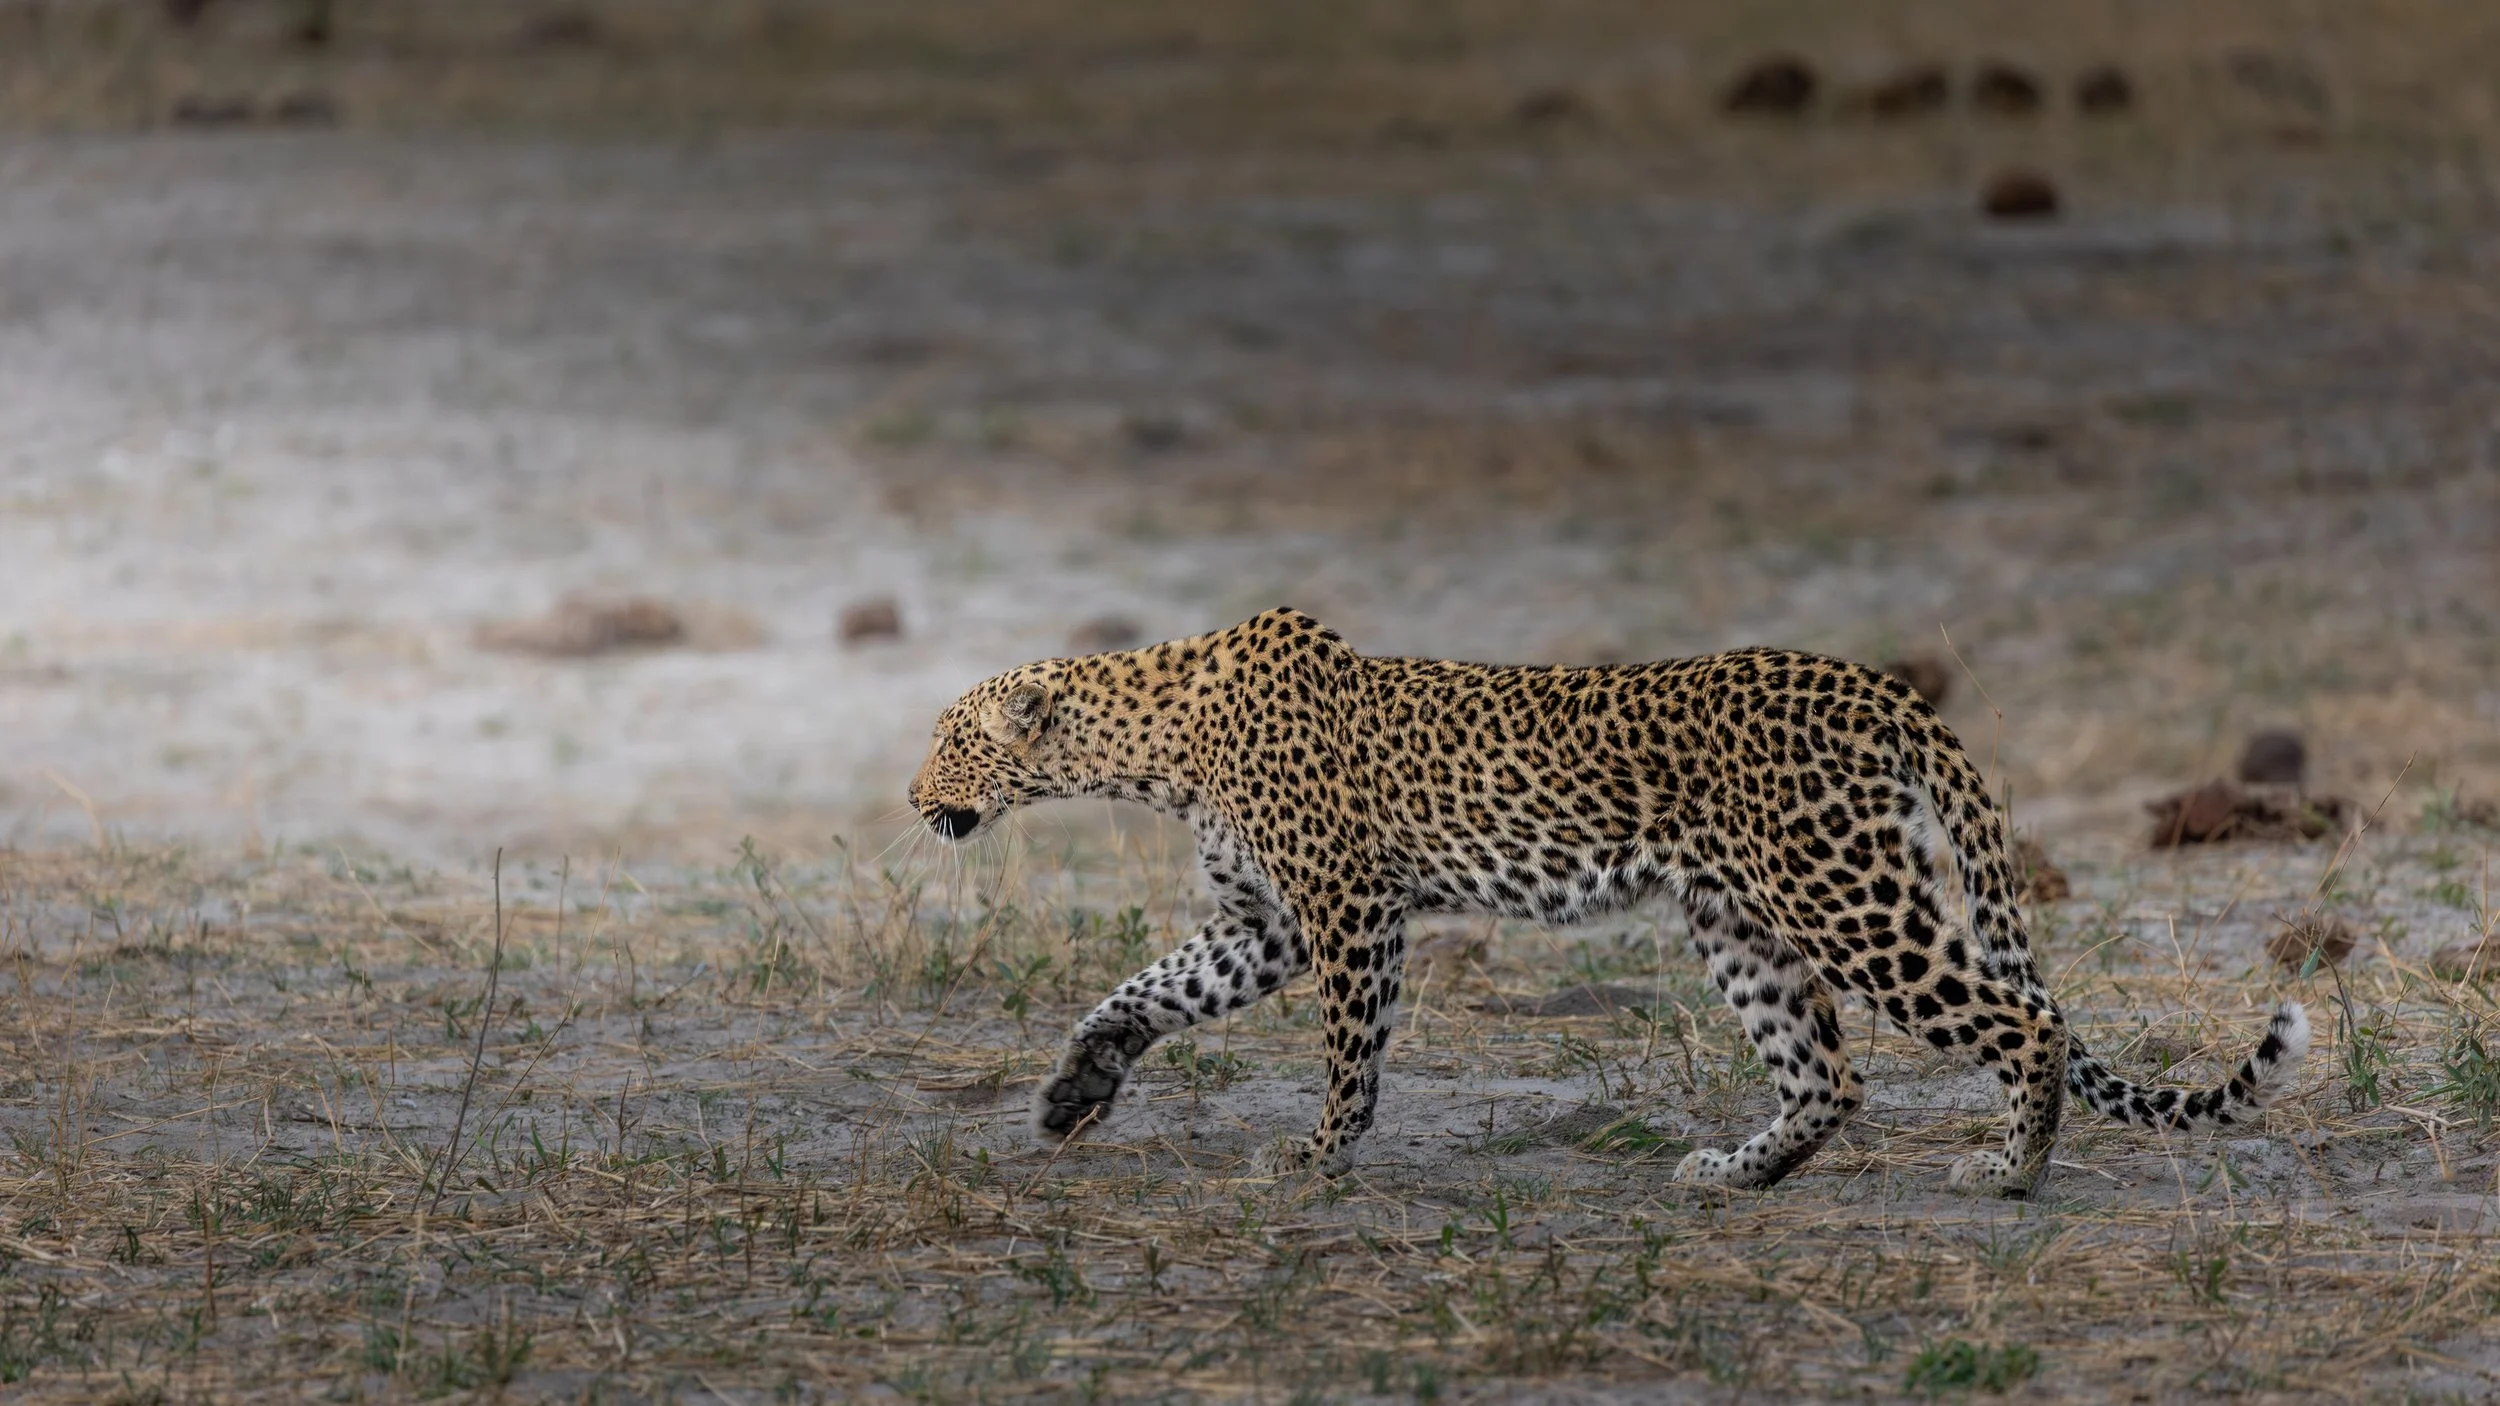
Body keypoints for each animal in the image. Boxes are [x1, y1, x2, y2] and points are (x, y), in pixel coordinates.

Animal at [907, 608, 2309, 1197]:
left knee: (2027, 1024)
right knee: (1830, 1074)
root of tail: (1875, 683)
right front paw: (1072, 1089)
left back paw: (2010, 1172)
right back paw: (1734, 1173)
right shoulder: (1269, 923)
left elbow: (1349, 1057)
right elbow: (1140, 992)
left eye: (951, 739)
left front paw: (1316, 1159)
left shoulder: (1349, 912)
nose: (916, 796)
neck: (1153, 741)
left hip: (1849, 901)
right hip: (1740, 919)